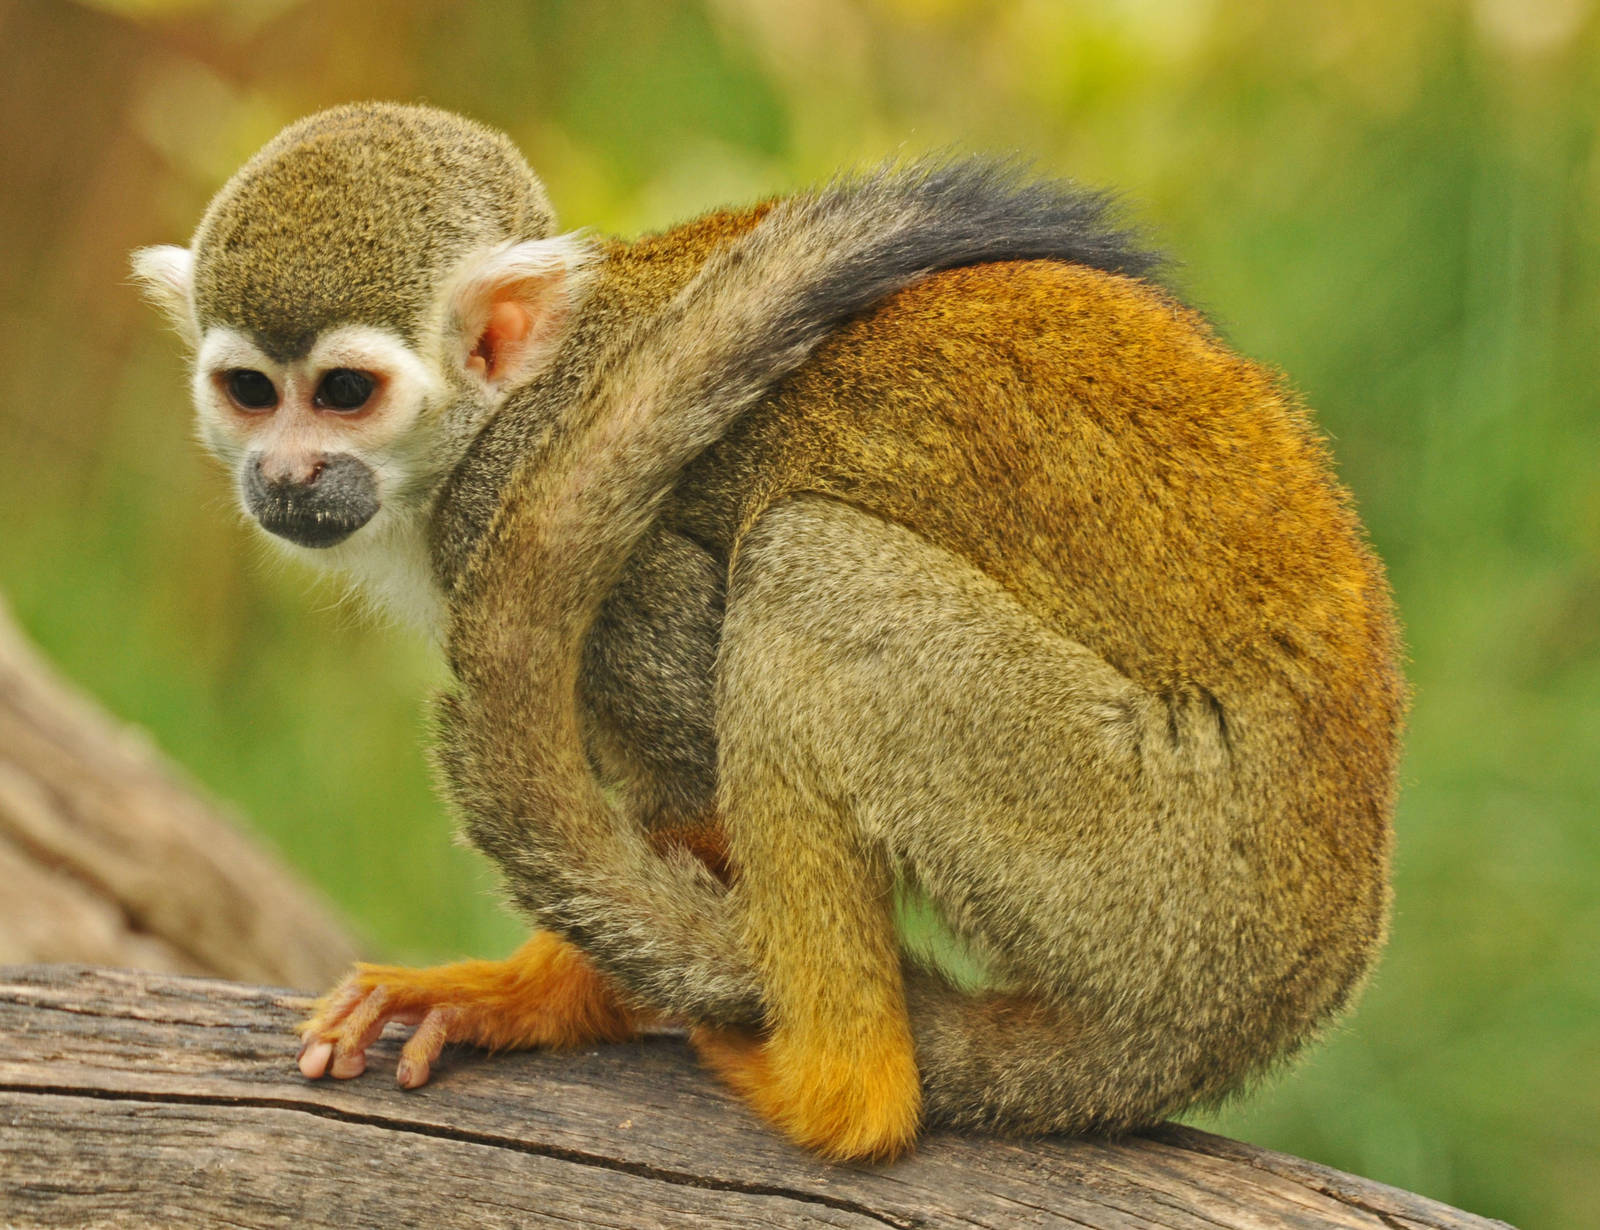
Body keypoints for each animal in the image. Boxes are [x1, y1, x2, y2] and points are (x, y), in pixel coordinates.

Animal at [133, 102, 1405, 1161]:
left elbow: (692, 769)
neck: (511, 398)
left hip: (1147, 864)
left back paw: (839, 1089)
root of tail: (1275, 995)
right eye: (250, 391)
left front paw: (539, 999)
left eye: (345, 393)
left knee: (802, 574)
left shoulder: (512, 501)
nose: (286, 476)